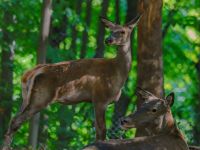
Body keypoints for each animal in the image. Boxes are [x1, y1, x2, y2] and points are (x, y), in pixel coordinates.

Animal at [1, 14, 142, 149]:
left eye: (122, 31)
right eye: (111, 30)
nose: (108, 40)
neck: (116, 72)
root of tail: (30, 73)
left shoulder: (96, 101)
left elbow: (97, 131)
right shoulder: (100, 98)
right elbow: (102, 131)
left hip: (26, 98)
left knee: (12, 119)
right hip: (41, 97)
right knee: (16, 121)